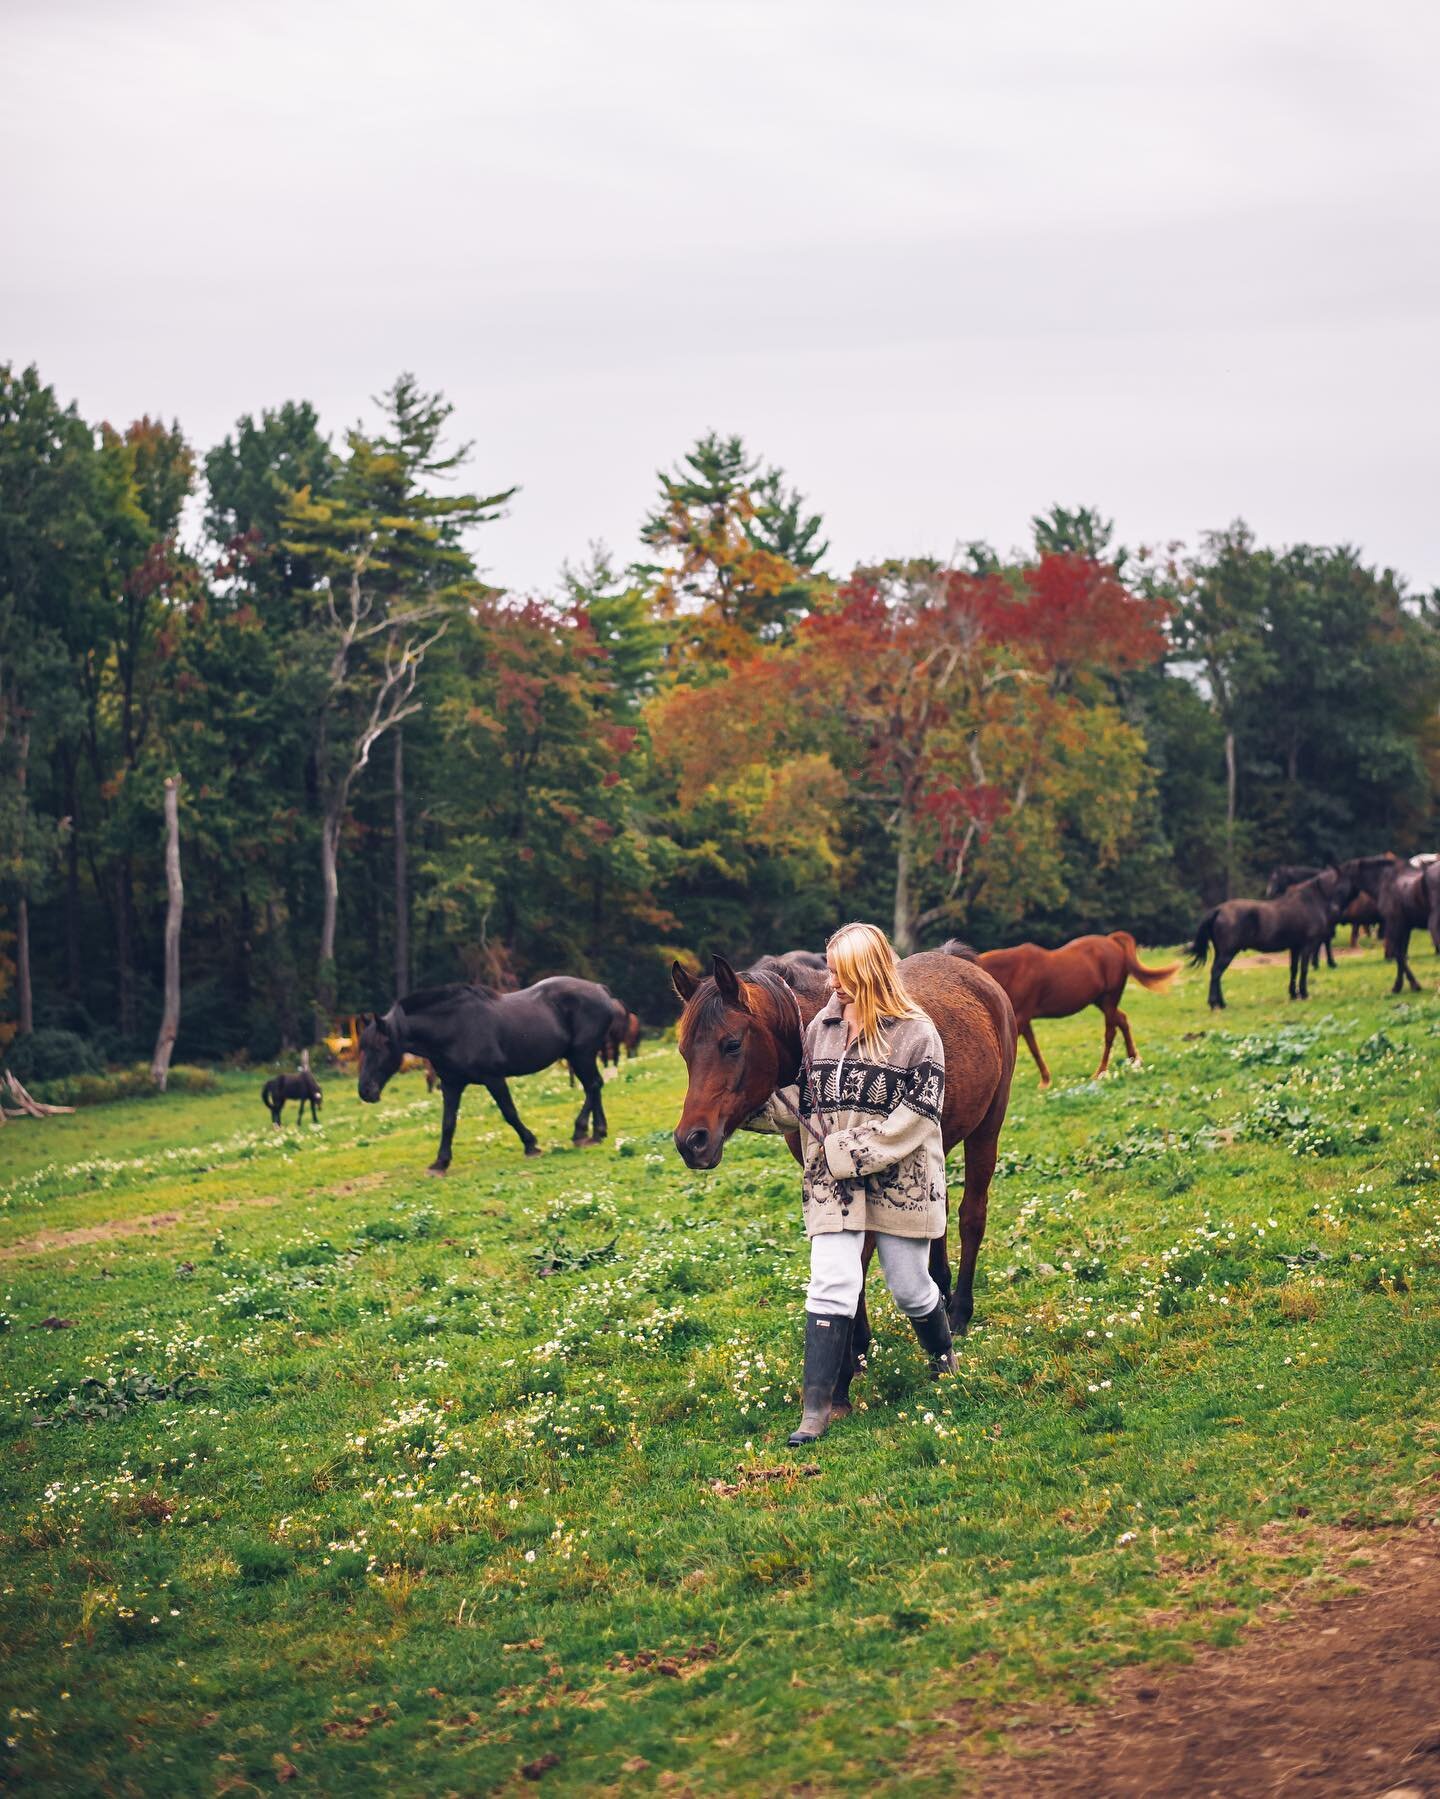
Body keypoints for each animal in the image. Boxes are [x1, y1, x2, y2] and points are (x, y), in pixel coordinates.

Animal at [360, 978, 619, 1172]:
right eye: (362, 1048)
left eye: (380, 1047)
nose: (365, 1092)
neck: (453, 1028)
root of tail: (600, 989)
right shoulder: (451, 1084)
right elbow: (448, 1123)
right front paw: (441, 1162)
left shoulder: (493, 1078)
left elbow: (510, 1113)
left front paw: (531, 1145)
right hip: (578, 1056)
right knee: (594, 1086)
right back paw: (597, 1132)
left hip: (581, 1054)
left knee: (593, 1086)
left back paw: (581, 1131)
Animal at [673, 949, 1015, 1410]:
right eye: (684, 1052)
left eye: (731, 1044)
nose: (690, 1141)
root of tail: (964, 964)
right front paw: (857, 1352)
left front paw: (844, 1374)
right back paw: (940, 1294)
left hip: (987, 1129)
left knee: (970, 1217)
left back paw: (959, 1310)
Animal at [950, 935, 1173, 1086]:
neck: (1012, 970)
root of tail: (1112, 941)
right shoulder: (1023, 1019)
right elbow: (1034, 1048)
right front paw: (1045, 1080)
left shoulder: (1021, 1019)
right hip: (1101, 1001)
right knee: (1123, 1020)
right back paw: (1134, 1060)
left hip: (1109, 999)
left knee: (1110, 1032)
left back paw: (1101, 1072)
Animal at [1188, 863, 1353, 1007]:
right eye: (1342, 885)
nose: (1336, 909)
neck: (1310, 901)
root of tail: (1219, 909)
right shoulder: (1307, 945)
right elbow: (1304, 969)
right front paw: (1304, 993)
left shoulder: (1295, 947)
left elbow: (1294, 969)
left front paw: (1293, 994)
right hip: (1227, 953)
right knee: (1216, 973)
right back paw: (1215, 1003)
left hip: (1221, 952)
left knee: (1216, 973)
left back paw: (1221, 1003)